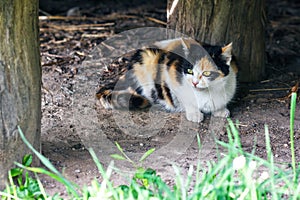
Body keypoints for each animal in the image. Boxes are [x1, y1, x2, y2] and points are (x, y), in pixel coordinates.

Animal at [97, 37, 238, 122]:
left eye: (207, 73)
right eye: (190, 71)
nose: (194, 83)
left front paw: (221, 110)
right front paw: (194, 114)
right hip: (146, 59)